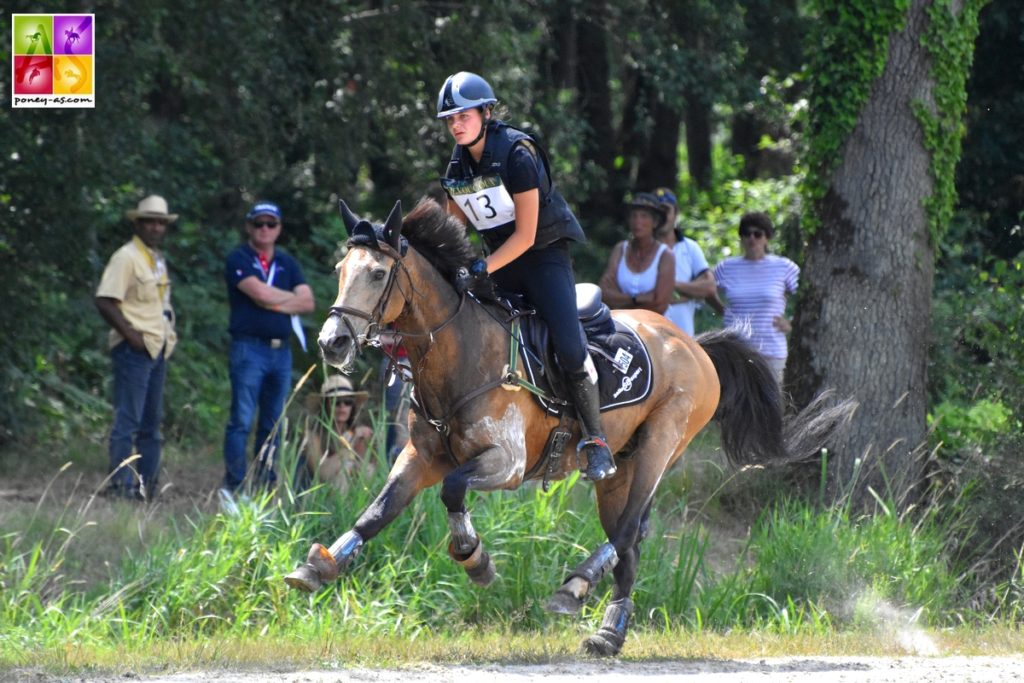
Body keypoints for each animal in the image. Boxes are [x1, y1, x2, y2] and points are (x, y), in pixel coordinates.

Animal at [284, 197, 851, 655]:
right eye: (340, 268)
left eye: (379, 274)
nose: (332, 342)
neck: (460, 352)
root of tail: (693, 343)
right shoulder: (421, 456)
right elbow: (378, 511)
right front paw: (318, 567)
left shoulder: (505, 463)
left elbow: (452, 490)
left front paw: (475, 558)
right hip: (620, 469)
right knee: (631, 540)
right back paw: (608, 633)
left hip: (662, 443)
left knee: (628, 528)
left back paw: (574, 586)